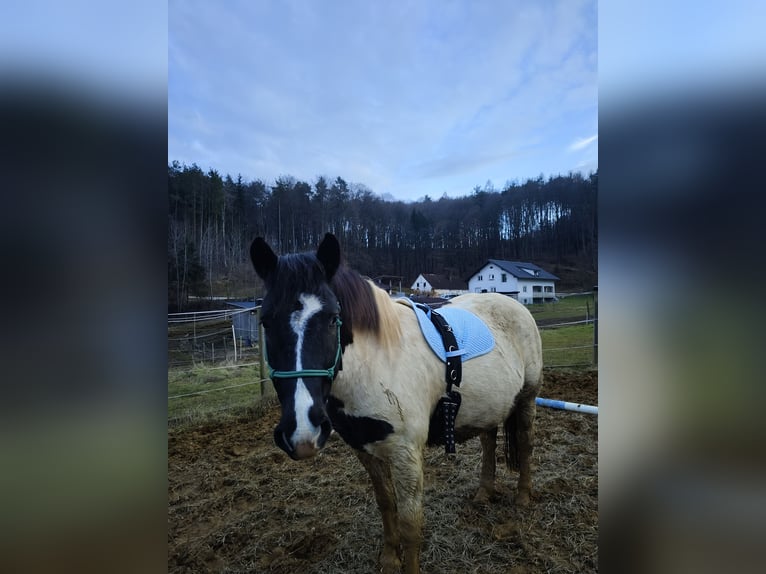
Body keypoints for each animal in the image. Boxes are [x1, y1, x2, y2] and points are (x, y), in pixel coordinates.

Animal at [250, 233, 543, 574]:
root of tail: (513, 303)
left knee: (525, 441)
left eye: (333, 318)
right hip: (488, 404)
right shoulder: (365, 448)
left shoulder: (406, 453)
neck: (377, 363)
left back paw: (523, 496)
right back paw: (484, 491)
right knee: (488, 440)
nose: (302, 431)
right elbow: (385, 503)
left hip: (527, 397)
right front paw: (390, 557)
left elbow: (410, 523)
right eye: (266, 321)